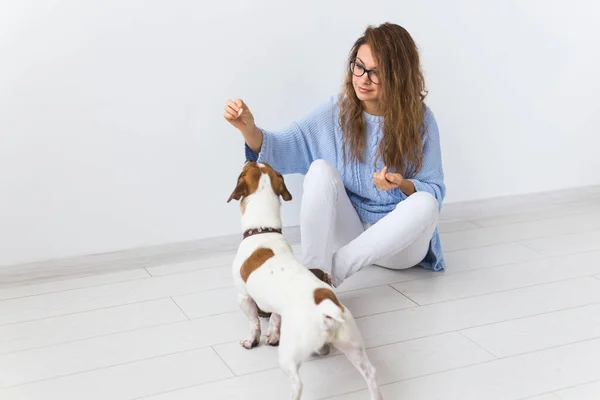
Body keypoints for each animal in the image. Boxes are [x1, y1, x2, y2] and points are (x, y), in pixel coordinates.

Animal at [227, 160, 382, 400]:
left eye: (248, 167)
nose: (251, 158)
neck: (263, 231)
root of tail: (327, 310)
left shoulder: (244, 297)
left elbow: (254, 324)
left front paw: (251, 341)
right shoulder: (276, 309)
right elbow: (274, 320)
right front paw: (272, 336)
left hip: (290, 354)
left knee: (298, 383)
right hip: (352, 345)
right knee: (370, 373)